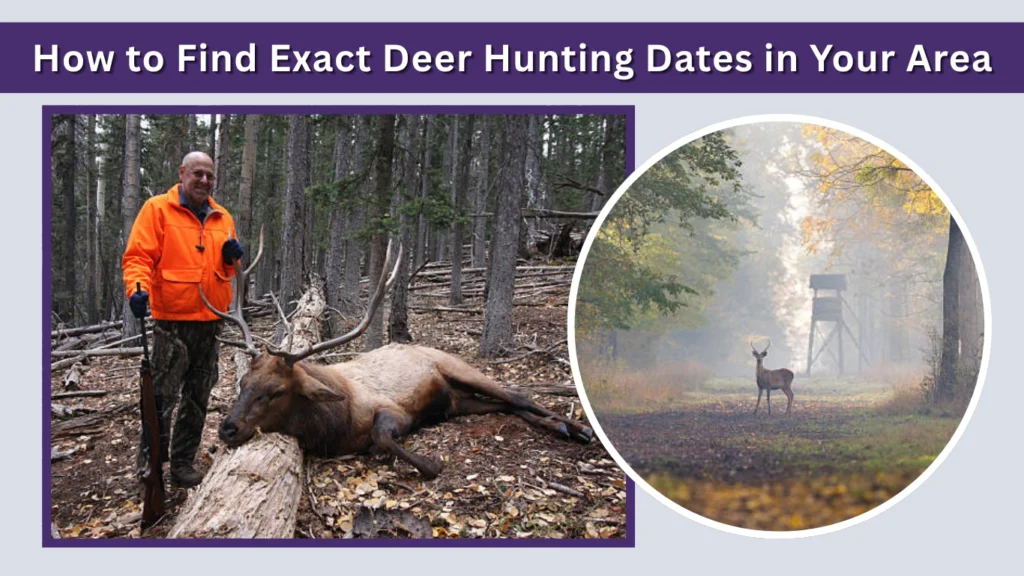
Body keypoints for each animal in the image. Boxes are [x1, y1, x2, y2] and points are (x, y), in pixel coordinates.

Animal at [200, 239, 593, 479]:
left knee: (517, 395)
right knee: (505, 405)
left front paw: (431, 464)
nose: (227, 428)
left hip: (459, 368)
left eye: (277, 391)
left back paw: (578, 429)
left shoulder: (393, 410)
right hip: (457, 403)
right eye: (243, 383)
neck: (333, 425)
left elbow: (382, 438)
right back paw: (561, 427)